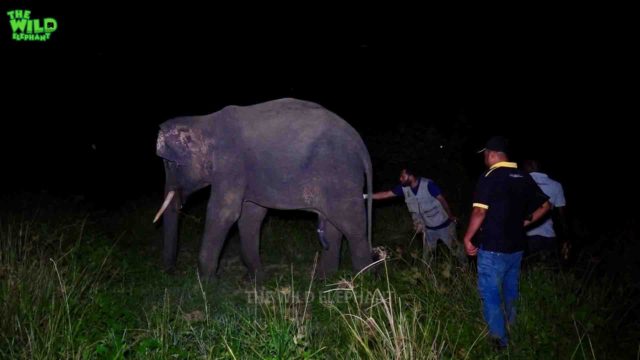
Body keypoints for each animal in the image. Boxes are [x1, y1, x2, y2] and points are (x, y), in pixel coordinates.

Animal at [154, 97, 372, 282]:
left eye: (170, 164)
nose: (170, 272)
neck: (204, 121)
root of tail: (361, 146)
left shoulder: (230, 163)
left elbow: (224, 213)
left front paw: (207, 283)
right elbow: (250, 216)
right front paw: (256, 280)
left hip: (341, 175)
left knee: (352, 226)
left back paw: (364, 280)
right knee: (335, 226)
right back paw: (326, 279)